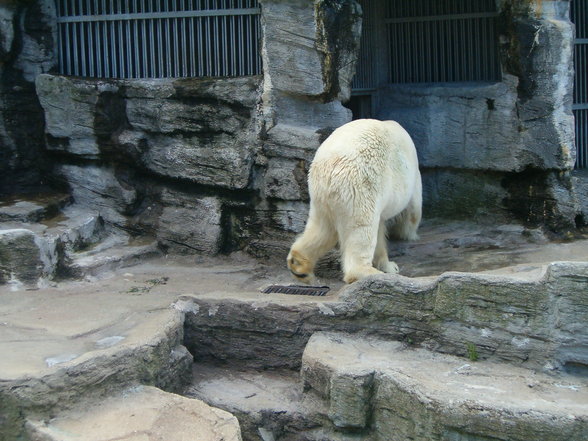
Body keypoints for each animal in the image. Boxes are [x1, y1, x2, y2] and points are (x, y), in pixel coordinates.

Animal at [286, 117, 420, 282]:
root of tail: (329, 168)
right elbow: (413, 210)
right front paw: (394, 263)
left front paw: (387, 265)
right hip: (361, 186)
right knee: (361, 228)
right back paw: (366, 272)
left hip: (321, 197)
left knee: (323, 228)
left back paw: (299, 266)